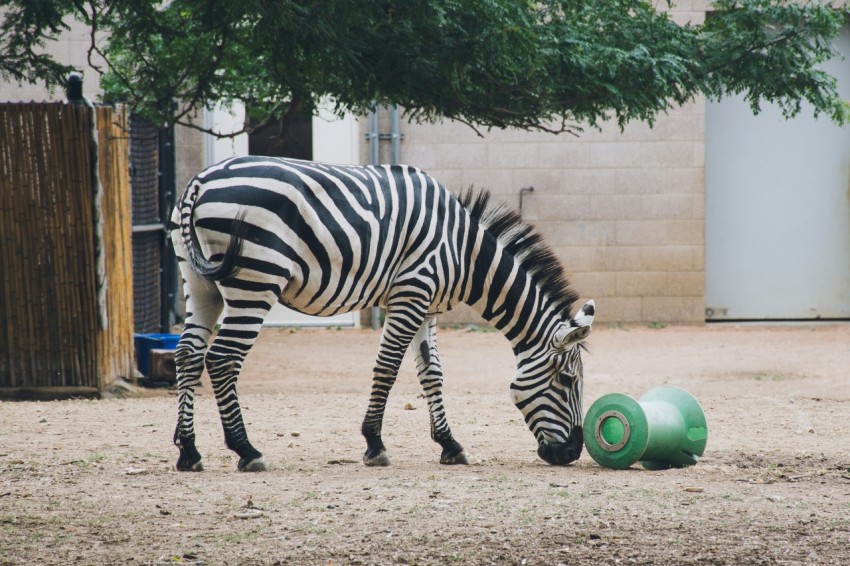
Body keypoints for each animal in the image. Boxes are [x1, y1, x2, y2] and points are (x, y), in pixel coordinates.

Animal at [169, 155, 592, 474]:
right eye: (568, 380)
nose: (572, 453)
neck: (465, 253)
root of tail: (200, 181)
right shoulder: (411, 292)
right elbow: (388, 367)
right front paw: (374, 444)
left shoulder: (427, 305)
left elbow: (432, 373)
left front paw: (449, 444)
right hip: (255, 280)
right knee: (223, 358)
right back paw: (246, 449)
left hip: (200, 283)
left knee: (188, 354)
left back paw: (189, 450)